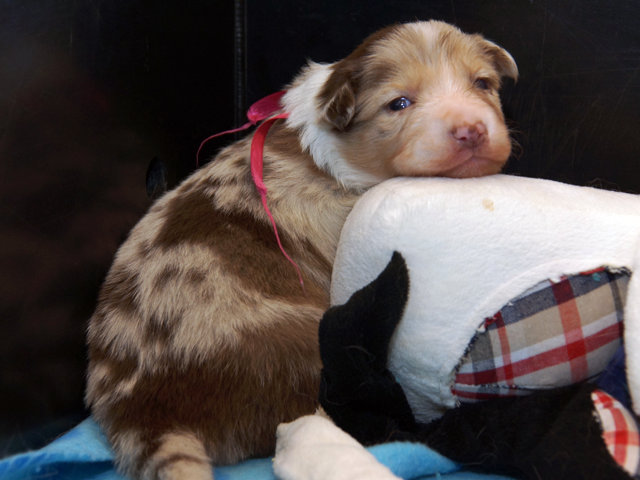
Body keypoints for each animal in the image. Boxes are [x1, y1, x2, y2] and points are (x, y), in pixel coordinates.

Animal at [85, 20, 518, 480]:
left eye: (483, 84)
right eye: (398, 103)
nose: (471, 130)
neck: (339, 148)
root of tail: (146, 416)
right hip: (306, 346)